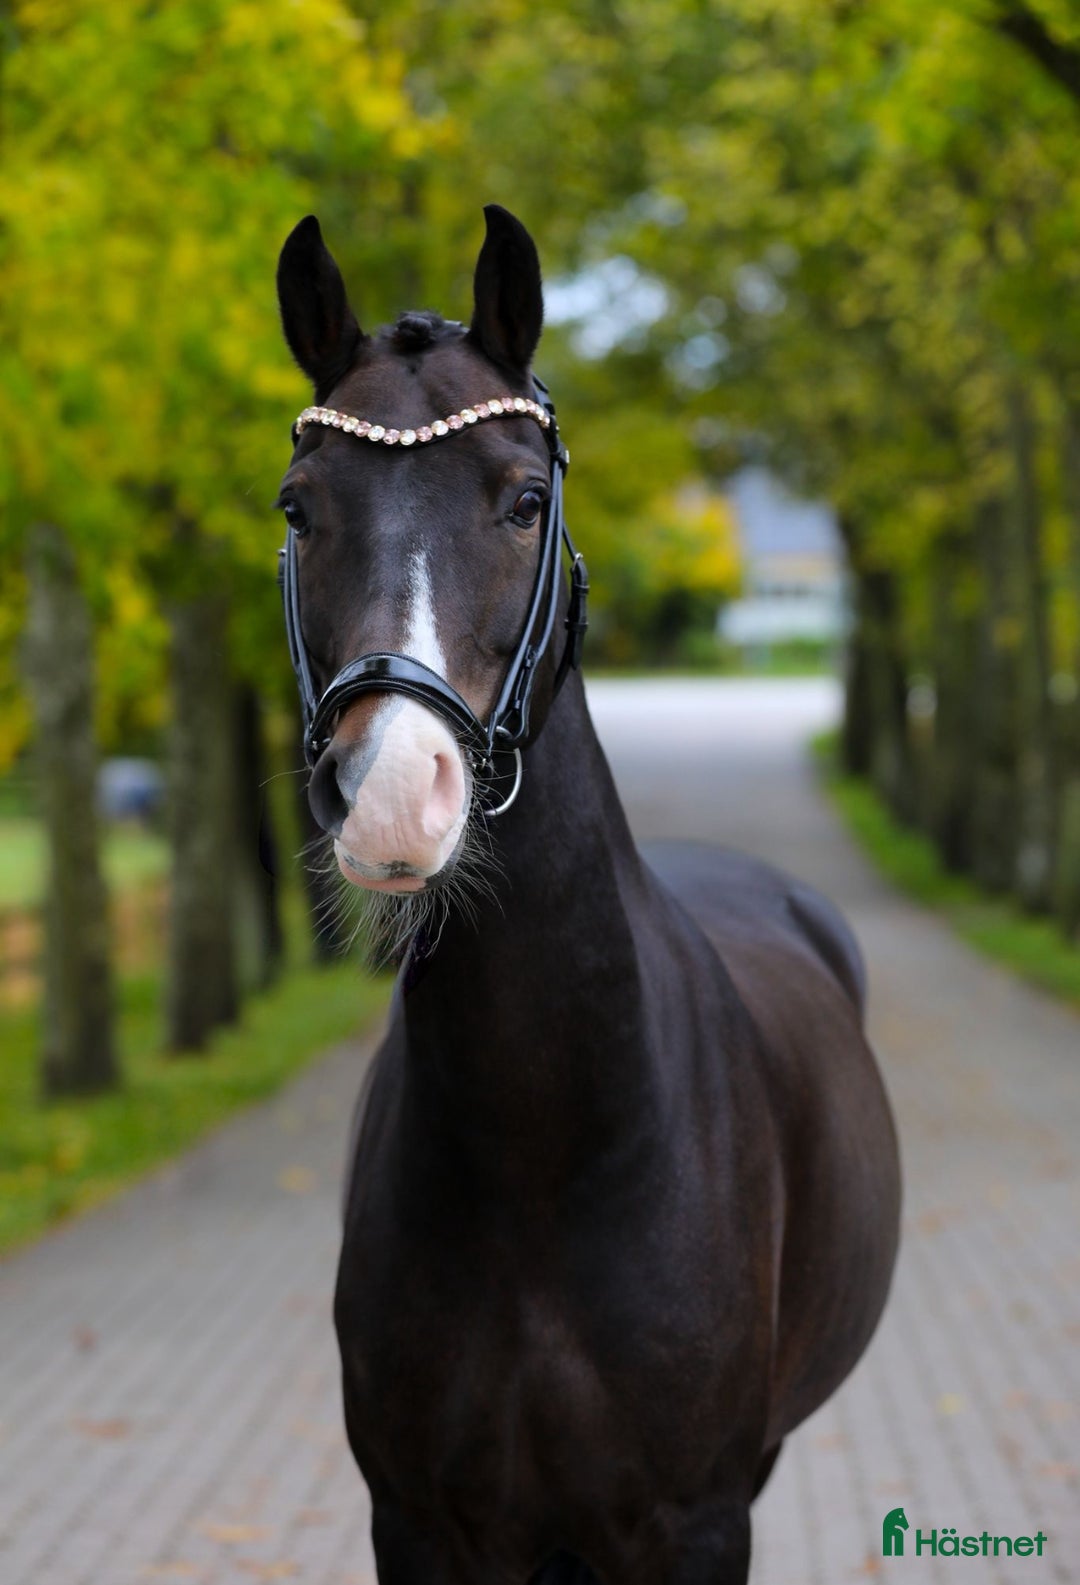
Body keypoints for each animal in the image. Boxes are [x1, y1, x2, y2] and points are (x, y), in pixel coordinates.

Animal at [274, 203, 901, 1585]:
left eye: (523, 500)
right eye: (300, 507)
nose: (391, 791)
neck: (542, 1152)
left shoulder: (697, 1518)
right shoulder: (420, 1523)